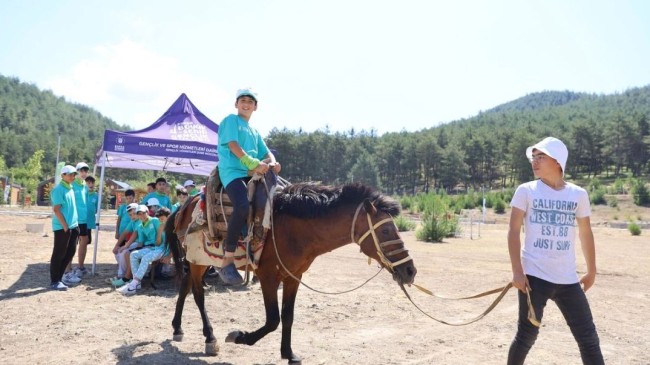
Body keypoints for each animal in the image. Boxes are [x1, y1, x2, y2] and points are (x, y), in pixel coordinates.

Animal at [167, 181, 418, 362]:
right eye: (385, 230)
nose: (410, 270)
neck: (293, 229)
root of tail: (185, 205)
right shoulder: (268, 277)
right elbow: (273, 320)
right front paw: (240, 337)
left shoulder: (293, 277)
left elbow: (288, 316)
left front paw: (288, 354)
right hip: (198, 261)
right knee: (198, 294)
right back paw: (210, 337)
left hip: (197, 261)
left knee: (185, 285)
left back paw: (178, 327)